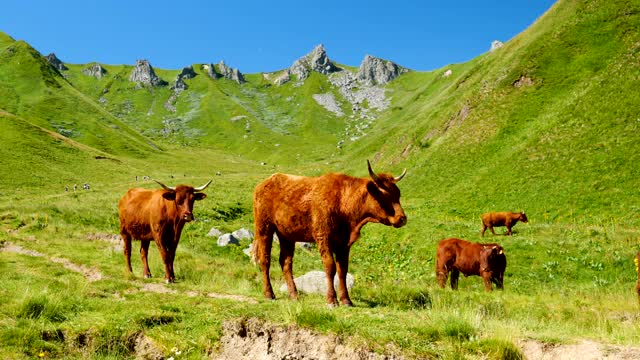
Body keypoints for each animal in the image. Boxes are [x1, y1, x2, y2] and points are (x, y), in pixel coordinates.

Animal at [252, 160, 408, 306]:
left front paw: (346, 300)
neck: (343, 202)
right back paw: (269, 293)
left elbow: (342, 269)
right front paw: (332, 299)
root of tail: (266, 182)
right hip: (264, 228)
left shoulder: (344, 243)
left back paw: (294, 295)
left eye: (399, 194)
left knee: (285, 262)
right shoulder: (323, 237)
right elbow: (330, 267)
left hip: (286, 234)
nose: (402, 218)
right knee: (265, 260)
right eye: (385, 195)